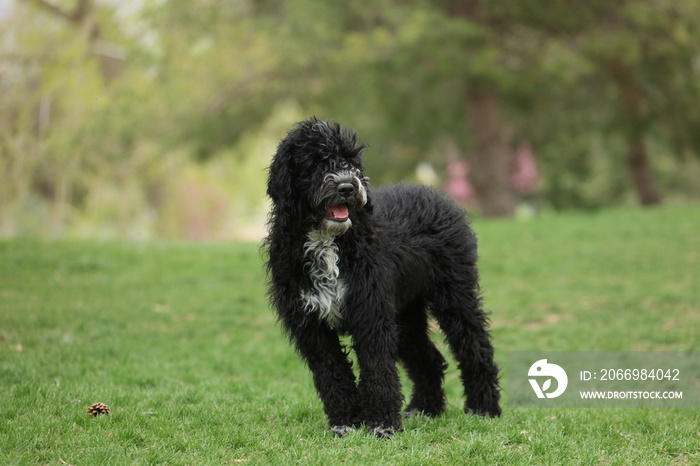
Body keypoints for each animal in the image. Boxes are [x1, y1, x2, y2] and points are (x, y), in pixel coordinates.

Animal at [262, 117, 498, 436]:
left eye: (350, 160)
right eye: (316, 161)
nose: (348, 187)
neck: (329, 241)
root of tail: (435, 193)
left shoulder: (370, 313)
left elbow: (377, 370)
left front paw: (382, 424)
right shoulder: (311, 325)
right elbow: (332, 373)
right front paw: (345, 422)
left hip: (454, 295)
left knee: (476, 347)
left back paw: (484, 407)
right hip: (405, 315)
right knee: (429, 359)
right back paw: (425, 408)